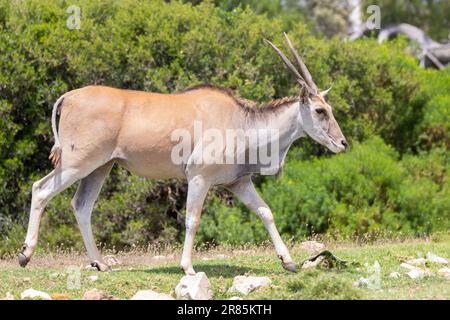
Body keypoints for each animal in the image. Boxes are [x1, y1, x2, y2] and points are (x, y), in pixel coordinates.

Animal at [19, 34, 346, 276]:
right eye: (320, 110)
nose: (342, 143)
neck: (242, 122)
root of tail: (69, 96)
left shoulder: (239, 182)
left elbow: (265, 212)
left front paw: (288, 262)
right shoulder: (199, 178)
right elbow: (192, 219)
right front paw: (187, 267)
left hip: (100, 167)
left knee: (82, 205)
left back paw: (99, 262)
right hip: (77, 163)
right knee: (41, 189)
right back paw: (25, 255)